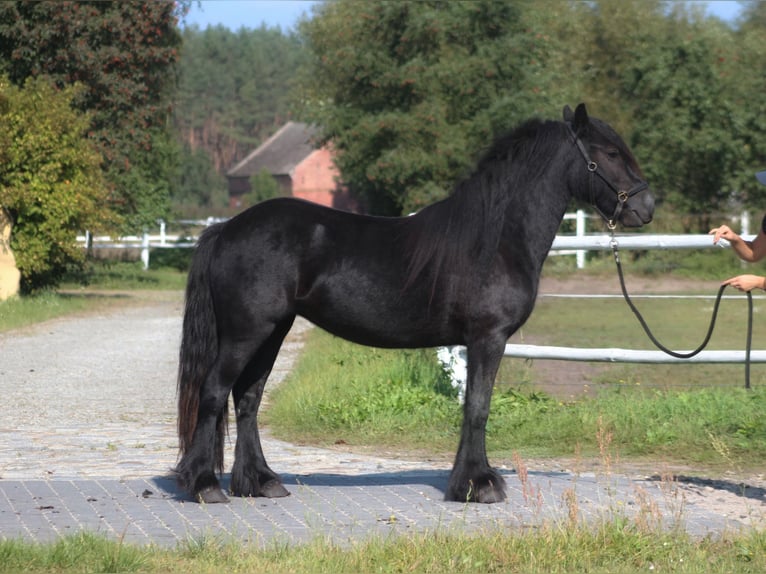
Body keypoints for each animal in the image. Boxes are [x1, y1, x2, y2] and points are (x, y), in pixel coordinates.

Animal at [175, 103, 654, 505]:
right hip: (247, 332)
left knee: (248, 398)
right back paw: (204, 486)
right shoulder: (488, 338)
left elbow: (472, 407)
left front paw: (468, 481)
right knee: (215, 392)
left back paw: (260, 482)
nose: (647, 206)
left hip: (273, 331)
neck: (495, 237)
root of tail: (226, 228)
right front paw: (479, 485)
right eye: (611, 153)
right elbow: (478, 407)